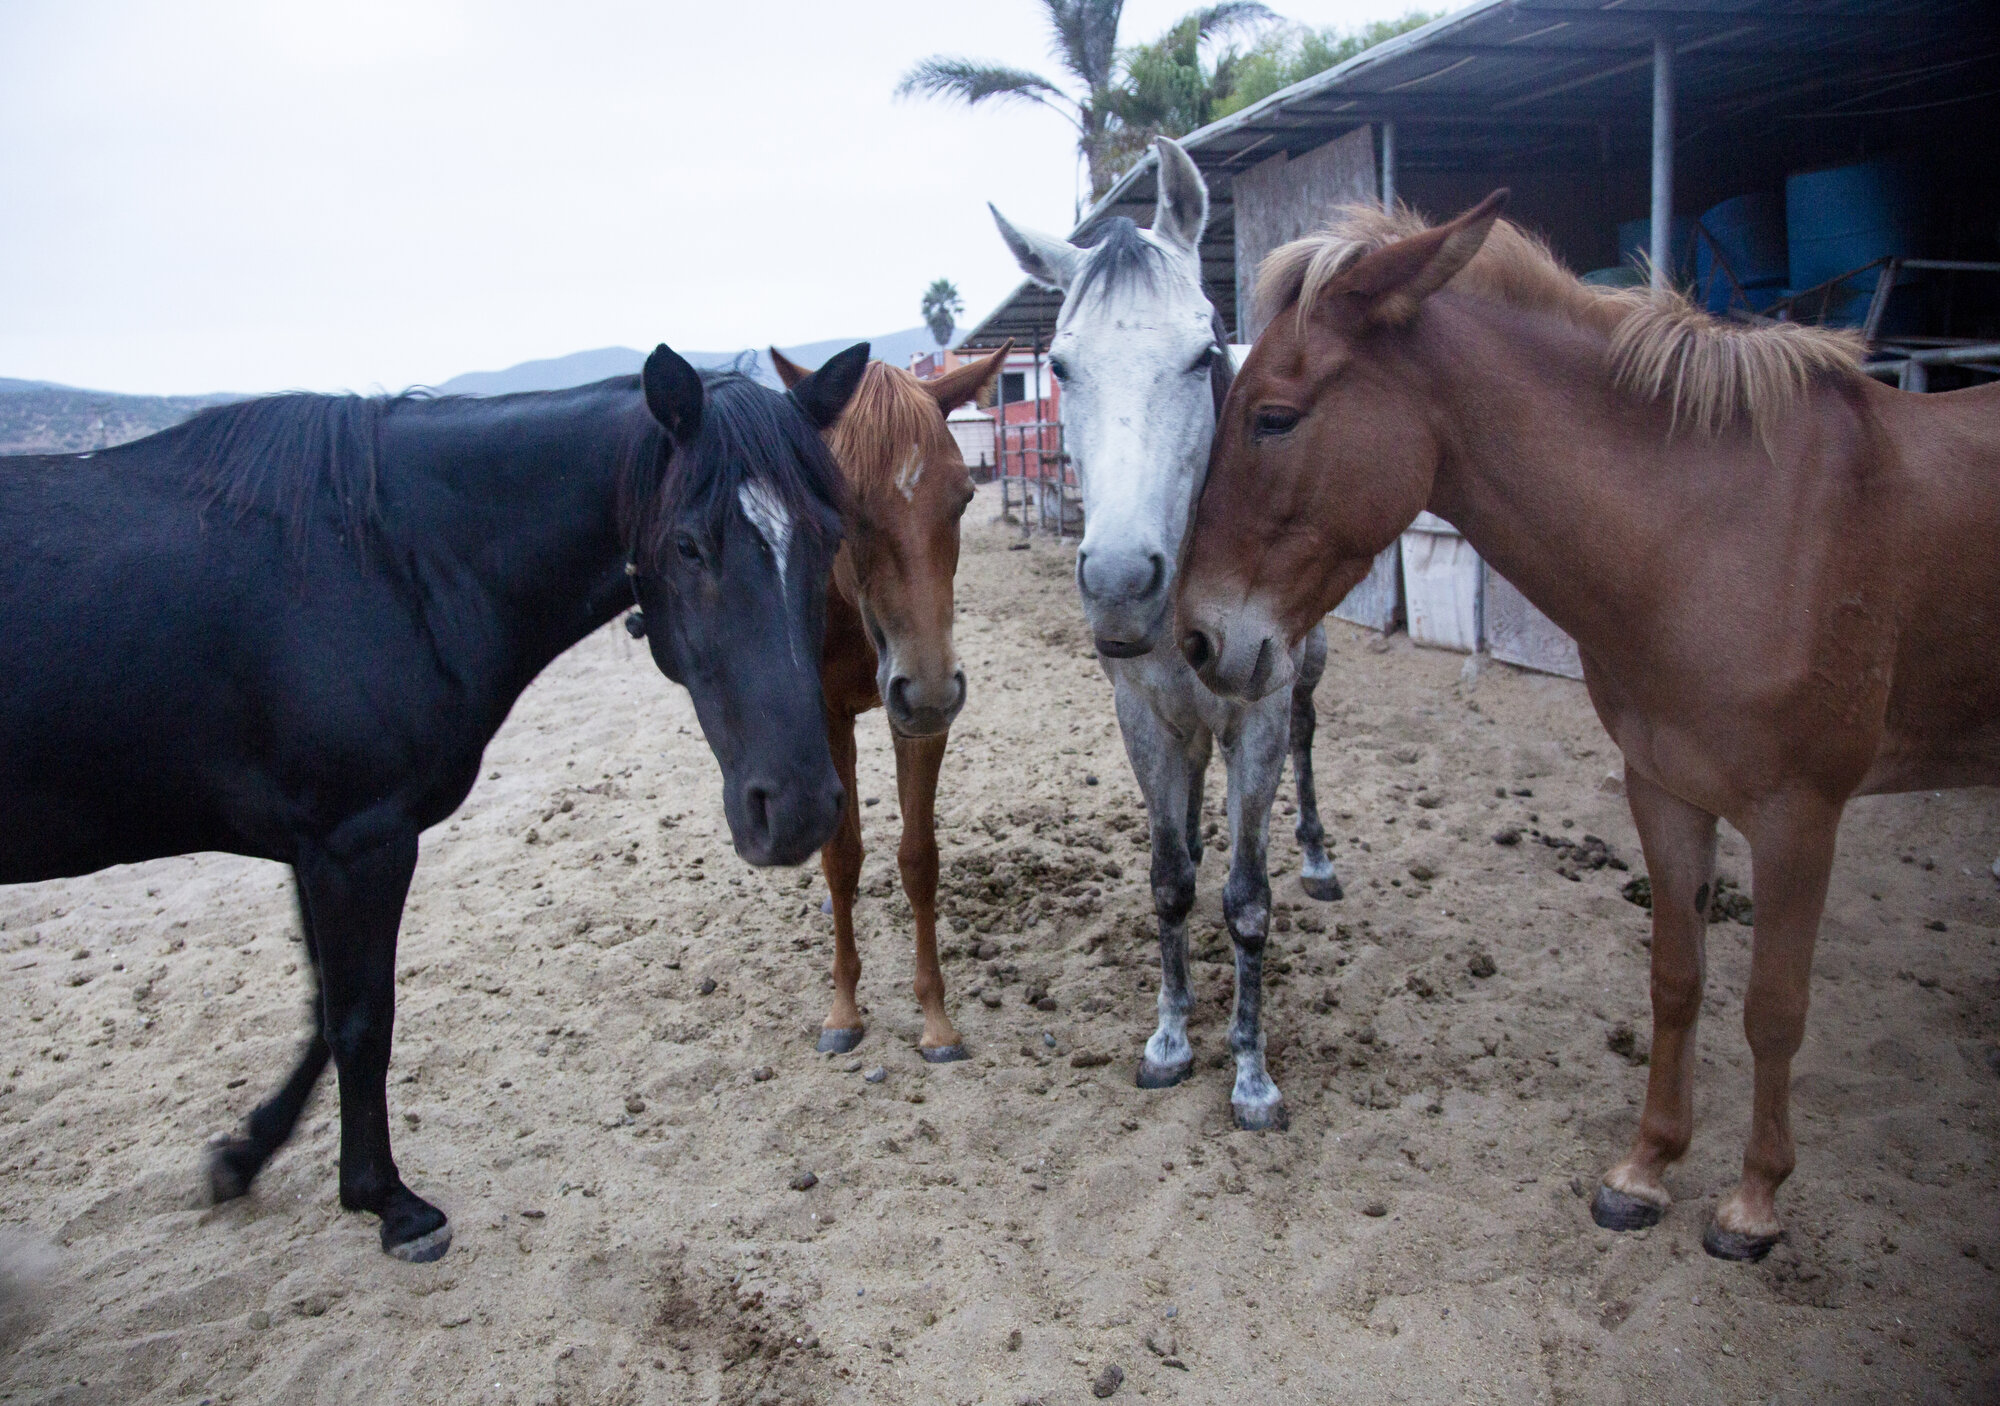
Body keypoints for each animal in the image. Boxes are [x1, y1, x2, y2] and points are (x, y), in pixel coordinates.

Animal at [0, 344, 868, 1264]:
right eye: (689, 545)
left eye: (828, 538)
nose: (799, 808)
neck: (383, 559)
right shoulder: (358, 842)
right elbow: (361, 1019)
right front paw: (389, 1202)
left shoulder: (318, 845)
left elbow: (325, 1010)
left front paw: (244, 1154)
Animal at [768, 346, 1008, 1064]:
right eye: (840, 508)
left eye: (964, 497)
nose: (927, 689)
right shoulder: (828, 719)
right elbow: (841, 858)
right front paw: (843, 1012)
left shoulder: (922, 722)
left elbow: (918, 858)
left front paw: (936, 1020)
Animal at [988, 138, 1336, 1136]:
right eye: (1063, 367)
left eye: (1200, 352)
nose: (1116, 583)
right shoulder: (1143, 715)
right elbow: (1171, 878)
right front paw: (1172, 1037)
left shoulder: (1255, 716)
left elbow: (1248, 900)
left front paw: (1252, 1075)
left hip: (1307, 670)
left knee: (1308, 740)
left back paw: (1319, 856)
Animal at [1168, 190, 2000, 1264]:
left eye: (1274, 416)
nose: (1195, 638)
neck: (1720, 531)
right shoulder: (1665, 788)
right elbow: (1677, 981)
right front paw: (1645, 1172)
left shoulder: (1800, 816)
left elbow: (1773, 1008)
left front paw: (1753, 1203)